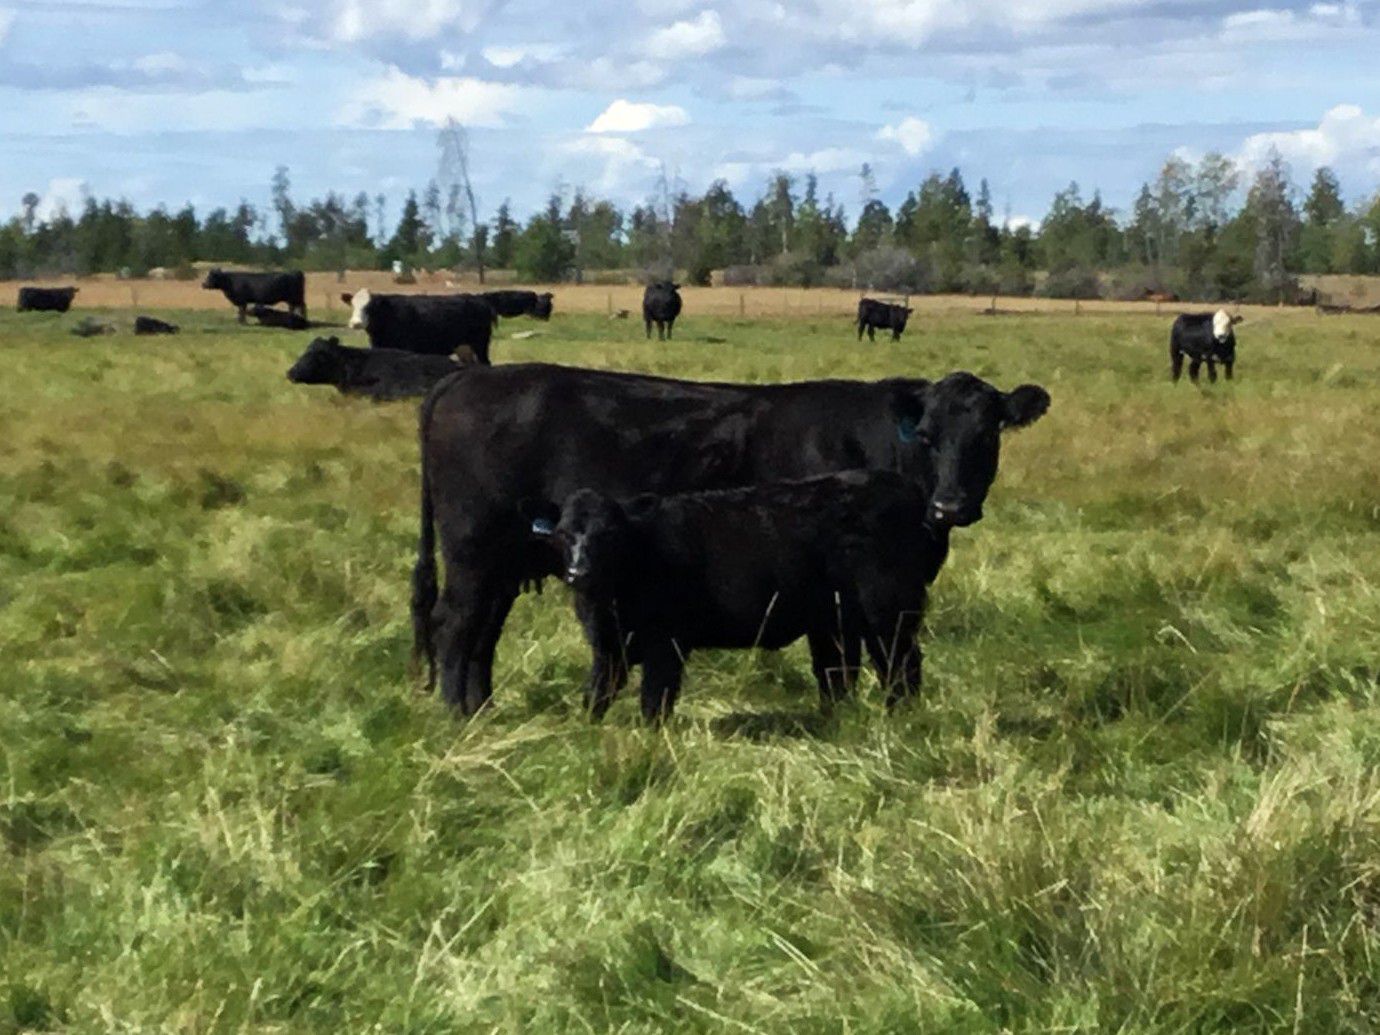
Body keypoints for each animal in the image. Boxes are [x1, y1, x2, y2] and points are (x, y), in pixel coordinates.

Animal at [341, 289, 495, 364]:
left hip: (480, 344)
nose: (356, 323)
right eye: (352, 305)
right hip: (463, 347)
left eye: (370, 307)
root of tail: (480, 298)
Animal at [526, 470, 951, 722]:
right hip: (837, 621)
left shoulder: (666, 643)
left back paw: (900, 717)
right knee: (839, 672)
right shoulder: (608, 648)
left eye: (608, 535)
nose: (579, 573)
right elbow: (596, 694)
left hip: (889, 612)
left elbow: (654, 699)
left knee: (900, 665)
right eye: (562, 536)